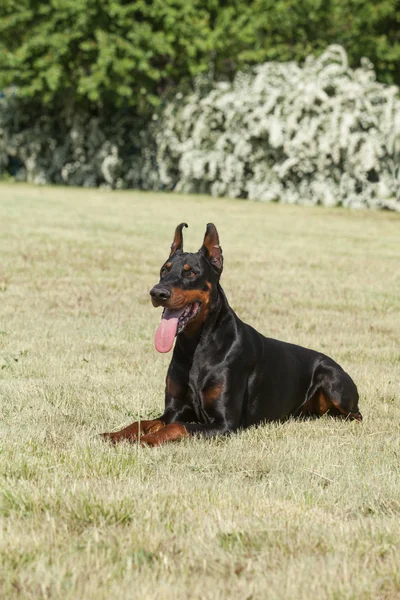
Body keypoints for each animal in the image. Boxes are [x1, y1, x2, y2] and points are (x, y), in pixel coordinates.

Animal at [101, 221, 362, 446]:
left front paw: (145, 440)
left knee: (356, 415)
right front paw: (116, 434)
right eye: (163, 270)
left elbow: (177, 427)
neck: (196, 346)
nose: (157, 293)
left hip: (333, 380)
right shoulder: (173, 411)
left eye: (191, 273)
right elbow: (143, 422)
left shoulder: (224, 424)